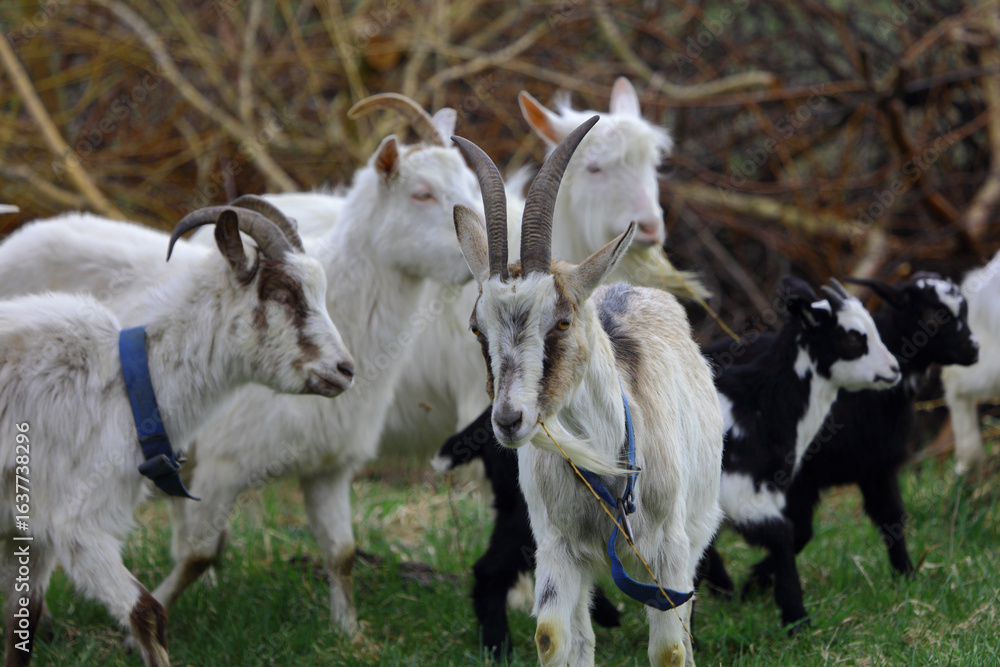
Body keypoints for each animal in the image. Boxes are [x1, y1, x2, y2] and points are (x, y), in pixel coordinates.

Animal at [0, 208, 353, 667]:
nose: (345, 369)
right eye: (282, 293)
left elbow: (22, 624)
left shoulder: (27, 530)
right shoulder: (76, 522)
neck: (129, 383)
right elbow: (147, 612)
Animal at [451, 116, 723, 666]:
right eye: (476, 327)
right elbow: (553, 637)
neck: (606, 466)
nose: (508, 419)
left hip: (695, 532)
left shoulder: (669, 551)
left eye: (561, 320)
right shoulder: (556, 548)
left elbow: (670, 649)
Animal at [699, 276, 901, 628]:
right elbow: (783, 534)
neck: (760, 405)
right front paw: (796, 618)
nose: (894, 369)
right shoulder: (738, 490)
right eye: (851, 337)